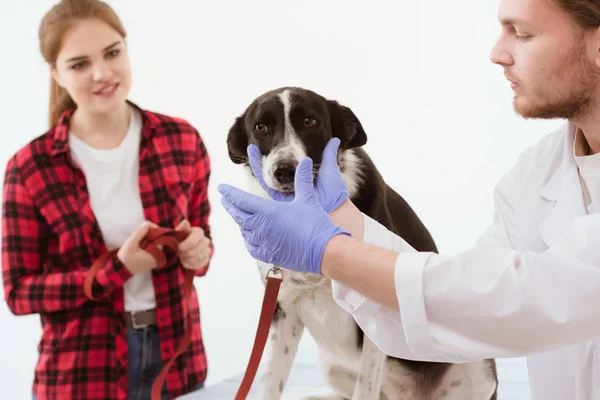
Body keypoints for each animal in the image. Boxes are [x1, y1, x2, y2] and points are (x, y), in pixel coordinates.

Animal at [225, 87, 496, 400]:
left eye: (309, 121)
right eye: (260, 127)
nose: (285, 170)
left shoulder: (374, 314)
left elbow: (364, 387)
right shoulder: (283, 308)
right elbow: (270, 382)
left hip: (475, 360)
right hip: (330, 365)